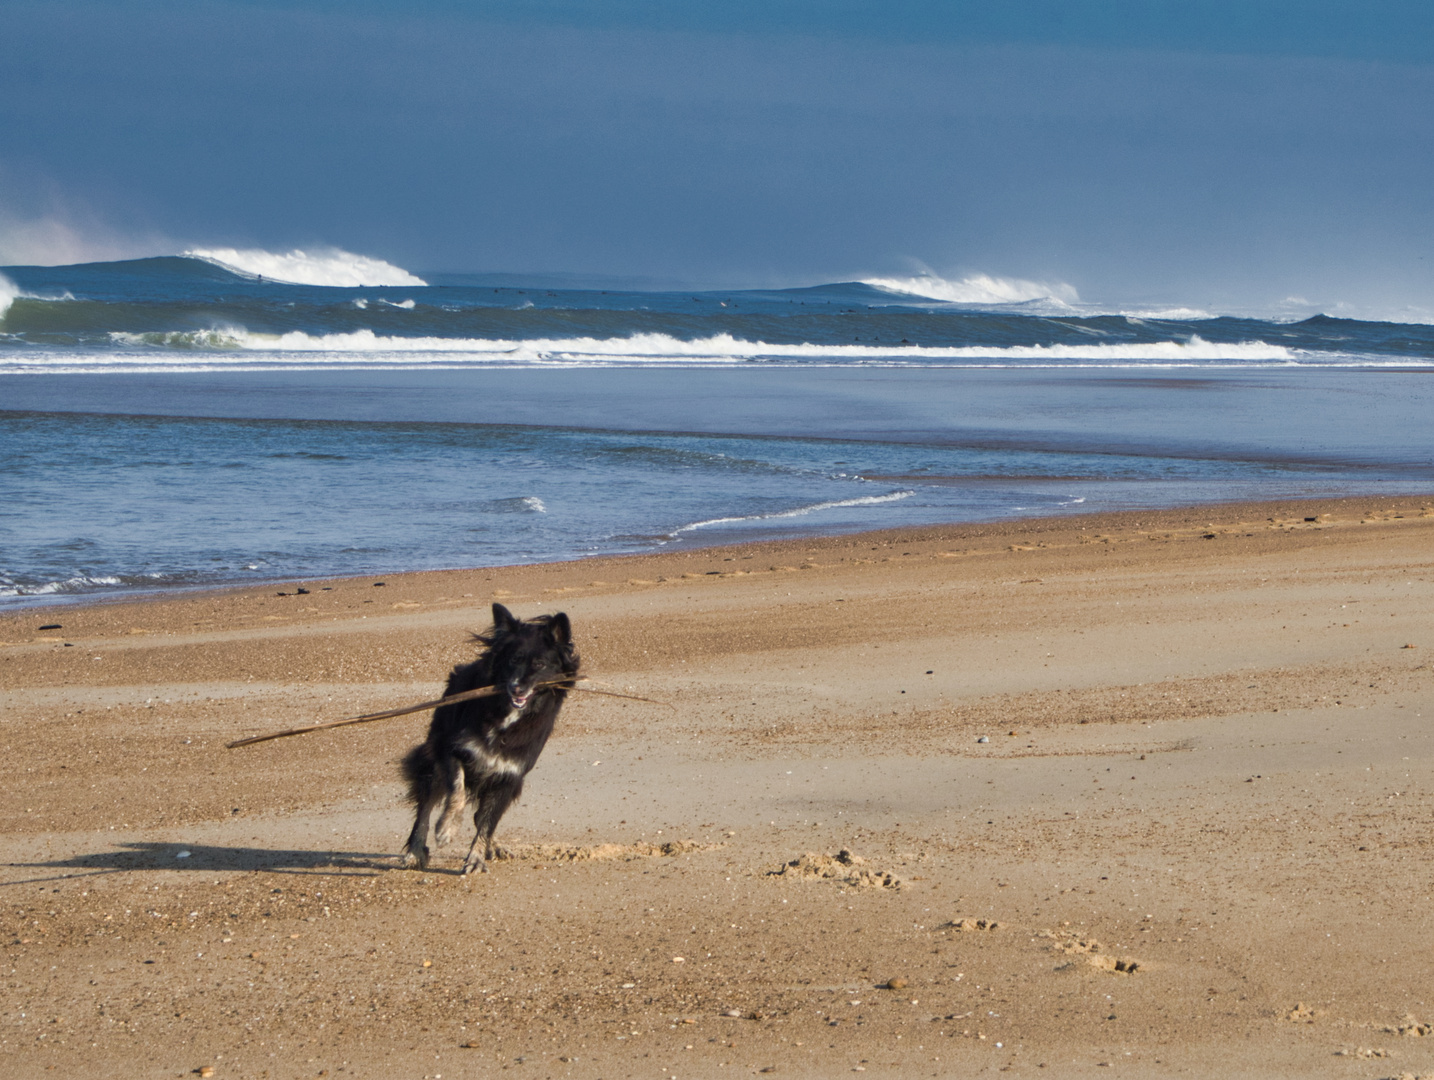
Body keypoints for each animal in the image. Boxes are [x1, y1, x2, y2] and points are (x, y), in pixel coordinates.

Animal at [398, 602, 576, 872]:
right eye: (513, 660)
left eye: (539, 664)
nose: (516, 688)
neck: (506, 714)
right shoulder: (453, 750)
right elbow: (457, 791)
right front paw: (447, 829)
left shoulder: (510, 775)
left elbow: (487, 822)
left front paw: (476, 857)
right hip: (435, 753)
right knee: (426, 803)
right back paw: (416, 851)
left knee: (481, 815)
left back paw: (495, 846)